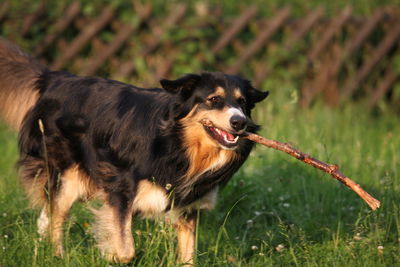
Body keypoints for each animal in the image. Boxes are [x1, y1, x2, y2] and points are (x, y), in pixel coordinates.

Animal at [0, 38, 268, 266]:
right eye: (213, 99)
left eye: (243, 103)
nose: (239, 122)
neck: (179, 144)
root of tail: (54, 79)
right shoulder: (121, 186)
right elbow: (125, 249)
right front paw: (110, 254)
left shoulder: (186, 203)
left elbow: (188, 253)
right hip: (66, 171)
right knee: (56, 214)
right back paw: (58, 256)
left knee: (48, 214)